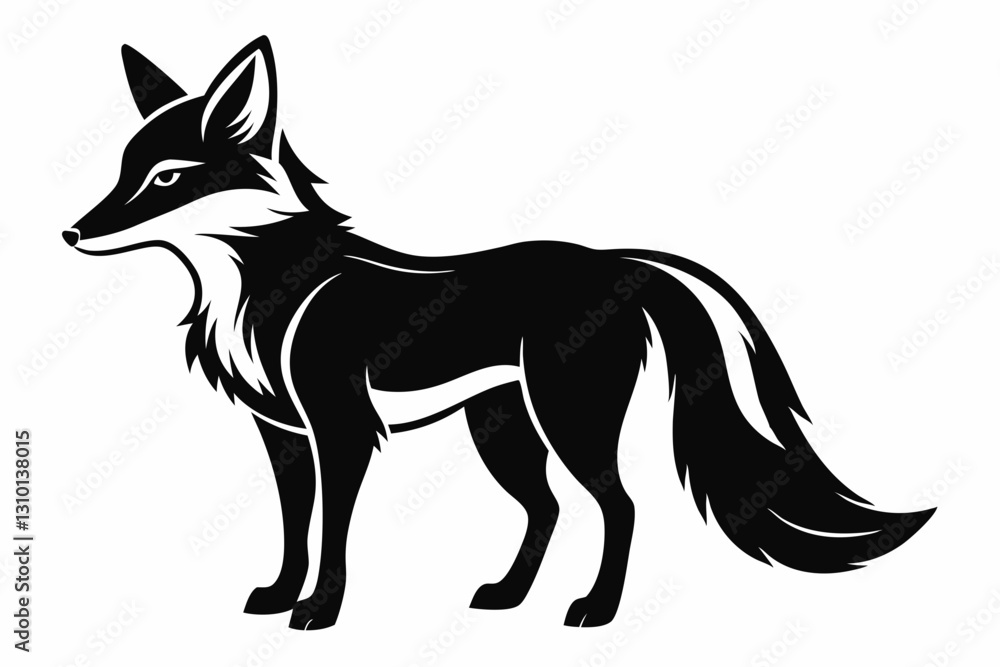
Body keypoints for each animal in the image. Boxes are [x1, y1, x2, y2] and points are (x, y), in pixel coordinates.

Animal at [65, 36, 934, 630]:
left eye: (167, 178)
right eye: (121, 171)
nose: (72, 233)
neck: (261, 289)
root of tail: (617, 260)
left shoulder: (342, 431)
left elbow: (333, 533)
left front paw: (318, 610)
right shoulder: (282, 434)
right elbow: (294, 527)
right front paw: (281, 594)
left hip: (565, 422)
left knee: (619, 507)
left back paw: (595, 608)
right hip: (502, 429)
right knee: (546, 510)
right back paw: (510, 594)